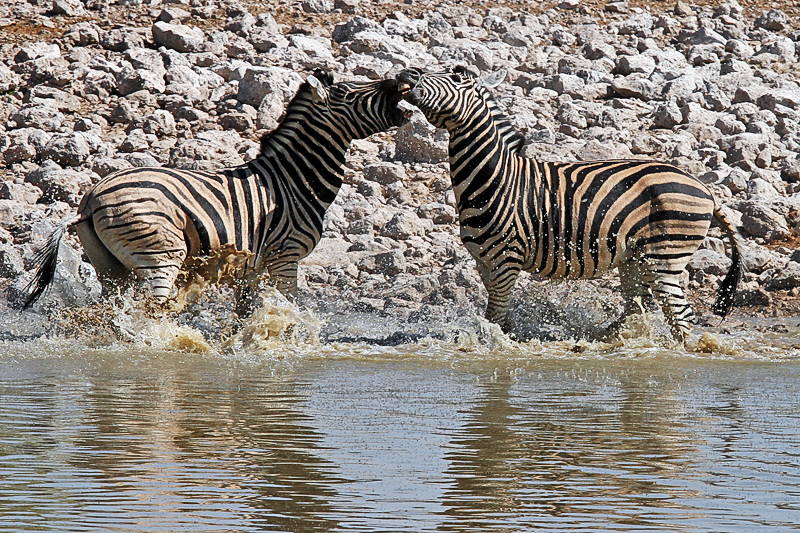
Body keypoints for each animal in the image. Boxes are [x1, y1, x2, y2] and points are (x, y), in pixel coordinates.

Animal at [20, 68, 406, 314]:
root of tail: (90, 199)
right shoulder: (286, 255)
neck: (294, 180)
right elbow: (291, 309)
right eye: (350, 93)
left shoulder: (252, 267)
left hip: (110, 266)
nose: (401, 79)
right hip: (161, 254)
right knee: (152, 308)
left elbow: (244, 316)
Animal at [398, 66, 744, 342]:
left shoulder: (506, 260)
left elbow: (494, 318)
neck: (494, 178)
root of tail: (704, 188)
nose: (409, 75)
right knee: (639, 307)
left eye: (457, 78)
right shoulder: (484, 262)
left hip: (666, 254)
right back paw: (609, 339)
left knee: (679, 315)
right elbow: (500, 317)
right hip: (636, 259)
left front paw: (495, 347)